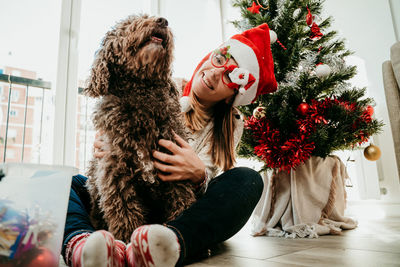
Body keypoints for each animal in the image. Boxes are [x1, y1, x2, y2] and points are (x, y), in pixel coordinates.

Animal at [85, 14, 197, 244]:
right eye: (130, 23)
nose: (163, 21)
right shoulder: (116, 176)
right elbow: (126, 217)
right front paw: (127, 242)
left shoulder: (176, 171)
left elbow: (181, 204)